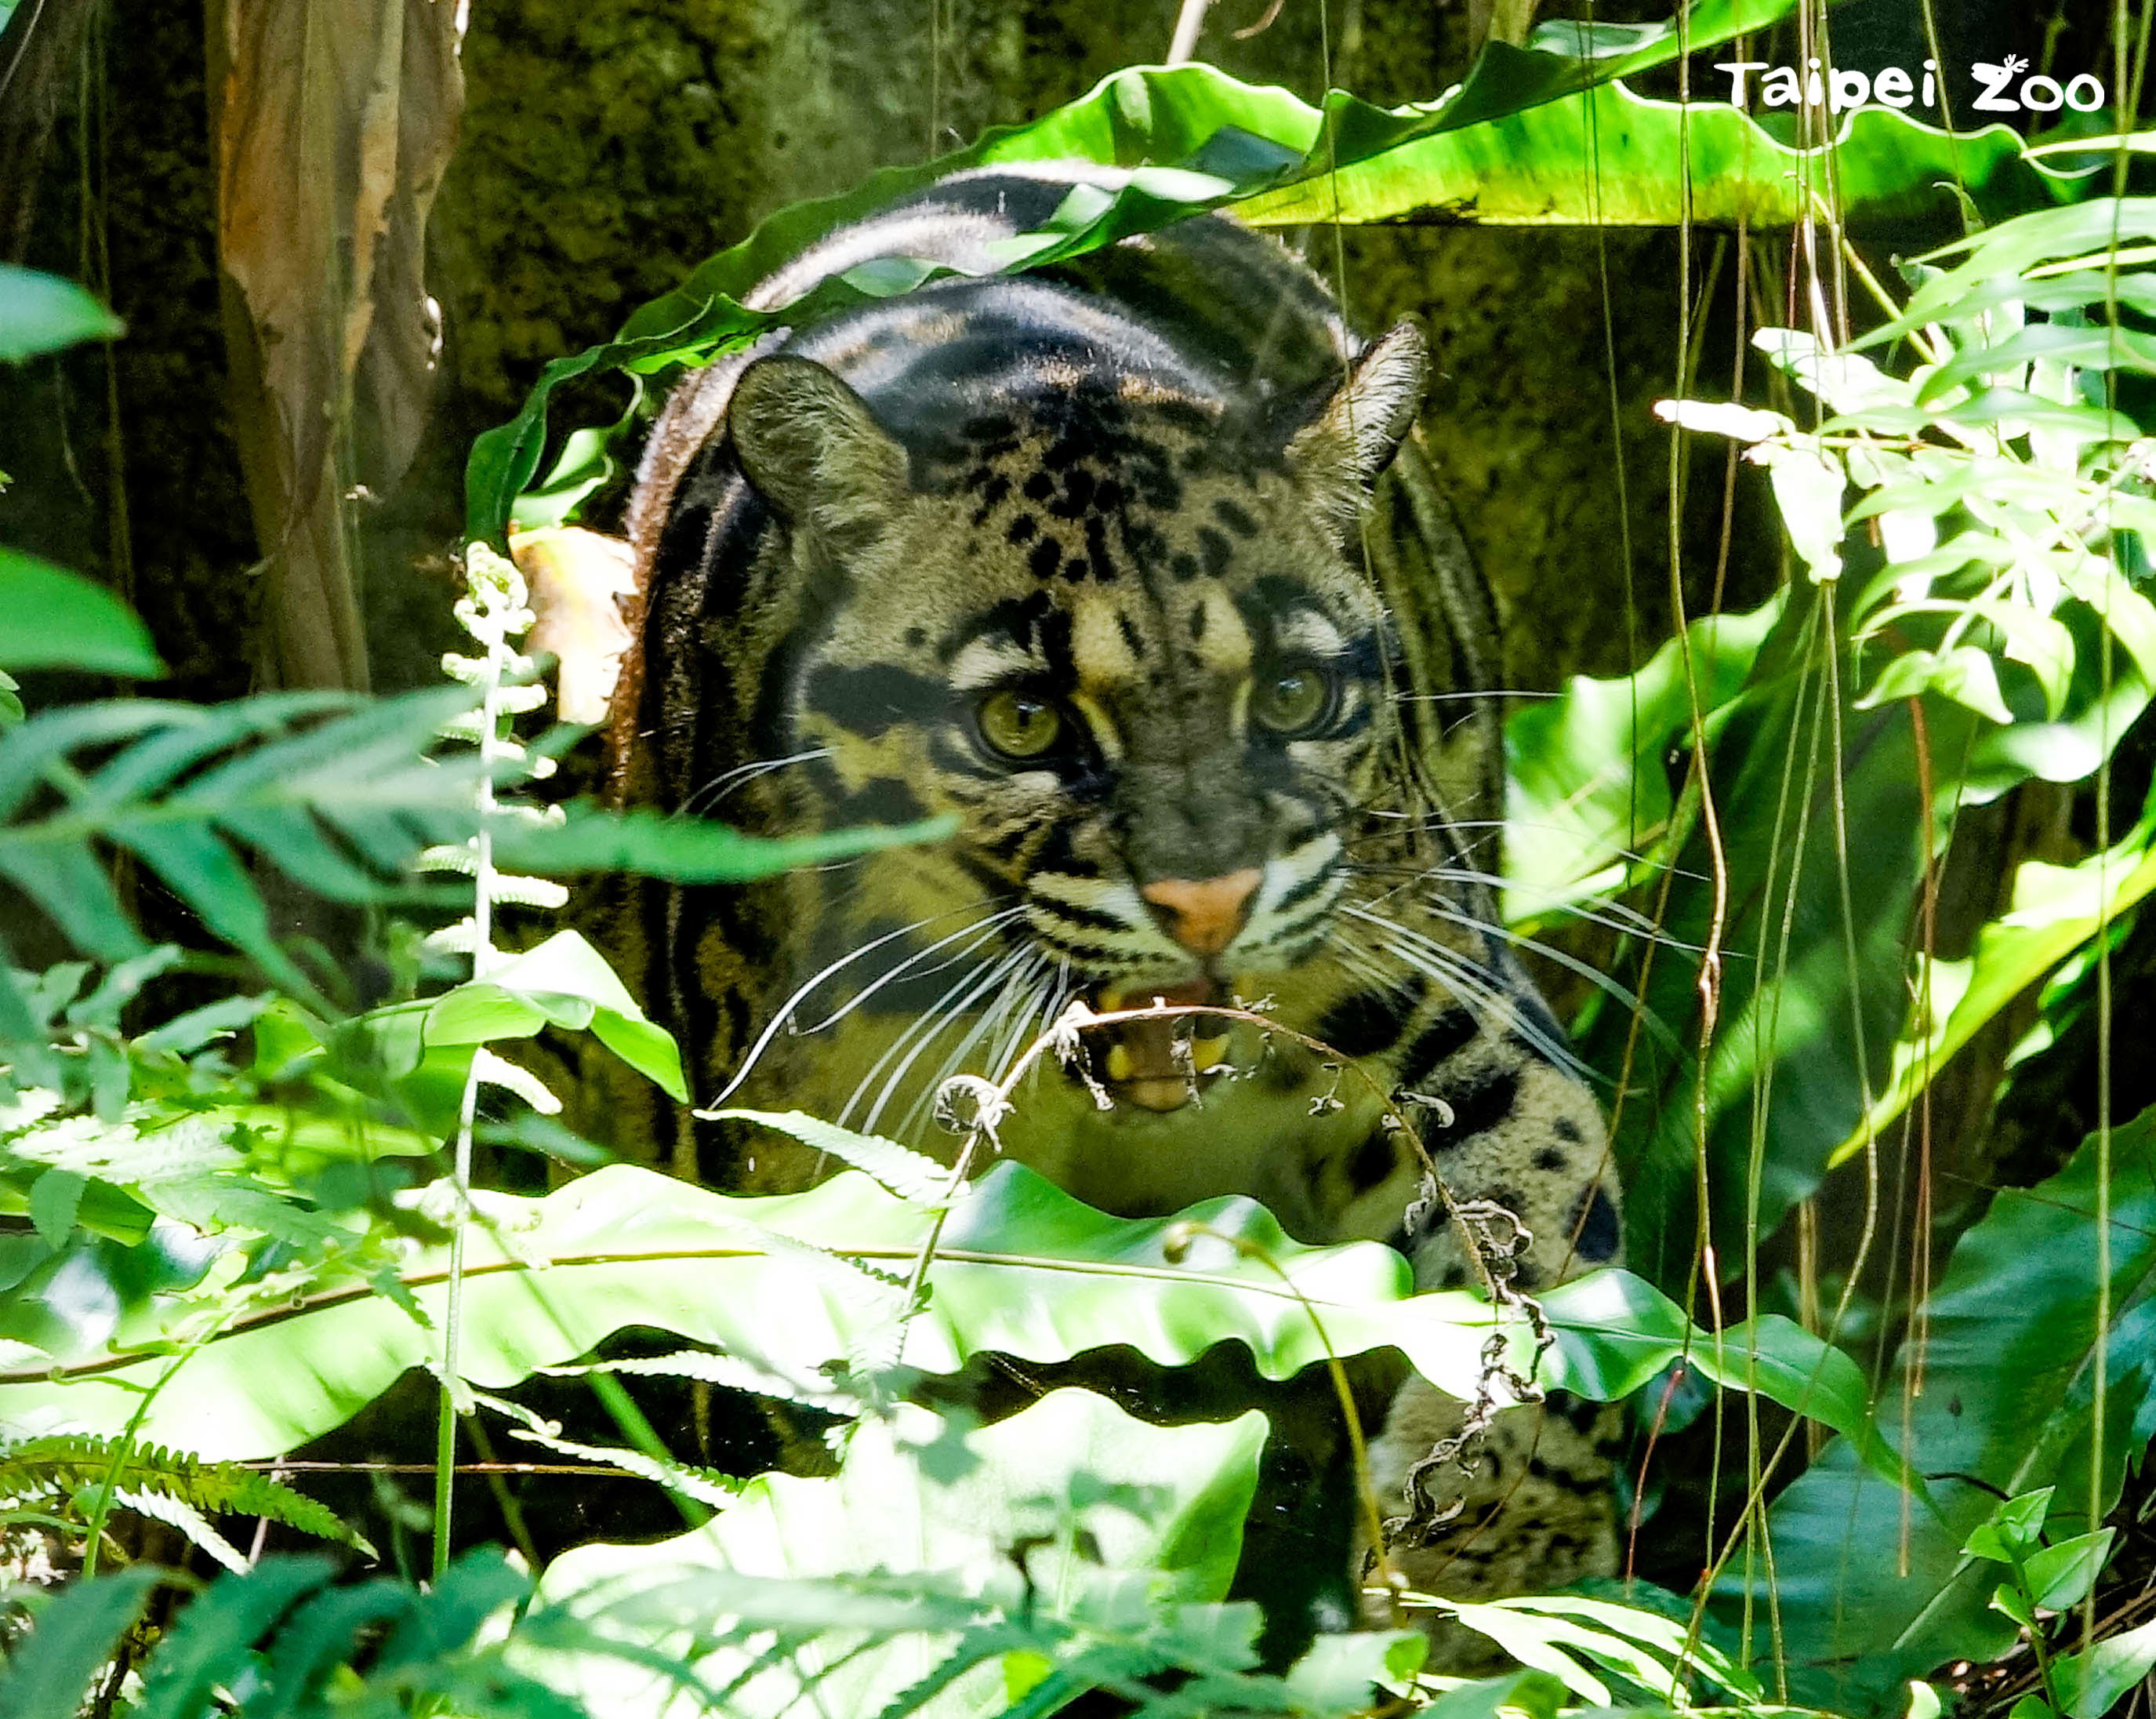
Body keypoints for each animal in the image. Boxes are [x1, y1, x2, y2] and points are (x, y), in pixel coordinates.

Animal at [564, 160, 1621, 1648]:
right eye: (1021, 720)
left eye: (1293, 695)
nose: (1209, 900)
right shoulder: (799, 1191)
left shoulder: (1446, 1007)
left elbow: (1555, 1258)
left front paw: (1492, 1544)